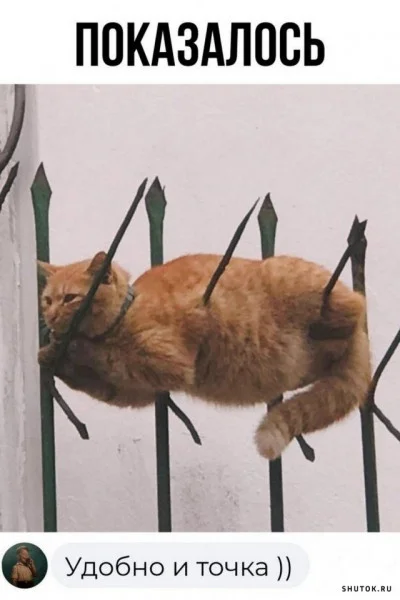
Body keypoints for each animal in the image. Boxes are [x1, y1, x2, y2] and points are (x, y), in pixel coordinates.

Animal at [38, 251, 371, 460]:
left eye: (70, 298)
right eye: (47, 300)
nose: (50, 316)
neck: (126, 312)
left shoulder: (166, 363)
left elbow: (106, 354)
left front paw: (71, 347)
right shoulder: (133, 391)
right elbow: (96, 382)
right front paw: (52, 355)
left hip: (296, 281)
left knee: (356, 305)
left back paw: (329, 320)